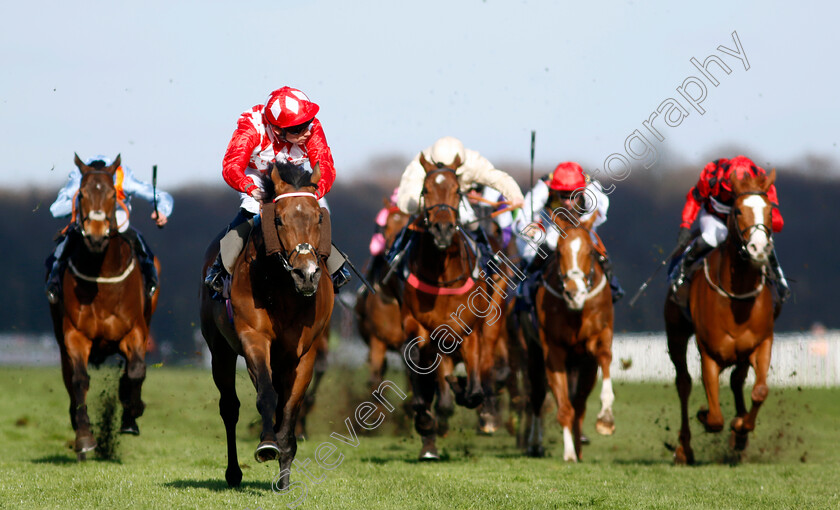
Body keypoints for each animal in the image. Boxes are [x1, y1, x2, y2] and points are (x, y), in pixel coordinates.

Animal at [48, 154, 160, 458]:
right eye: (82, 194)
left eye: (112, 195)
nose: (96, 236)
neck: (102, 276)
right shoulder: (74, 335)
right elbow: (79, 380)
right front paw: (85, 436)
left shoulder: (135, 330)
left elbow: (136, 371)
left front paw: (132, 412)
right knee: (69, 379)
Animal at [200, 161, 334, 488]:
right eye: (279, 220)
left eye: (318, 218)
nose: (306, 274)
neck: (283, 289)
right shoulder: (254, 338)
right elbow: (266, 394)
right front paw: (268, 444)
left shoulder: (306, 351)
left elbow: (291, 404)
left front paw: (285, 467)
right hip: (220, 350)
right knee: (229, 407)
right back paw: (234, 472)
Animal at [524, 213, 616, 460]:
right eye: (558, 251)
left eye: (591, 251)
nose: (574, 293)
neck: (575, 311)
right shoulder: (553, 350)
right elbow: (564, 406)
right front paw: (569, 453)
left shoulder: (599, 338)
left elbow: (605, 358)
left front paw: (606, 417)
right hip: (533, 354)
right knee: (537, 397)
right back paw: (536, 444)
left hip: (584, 365)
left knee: (580, 404)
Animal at [668, 169, 780, 464]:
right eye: (739, 210)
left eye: (769, 210)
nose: (759, 248)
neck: (736, 296)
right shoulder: (709, 352)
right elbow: (716, 416)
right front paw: (704, 415)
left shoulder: (762, 342)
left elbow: (760, 391)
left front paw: (741, 427)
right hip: (676, 333)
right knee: (683, 383)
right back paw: (684, 449)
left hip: (741, 353)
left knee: (737, 380)